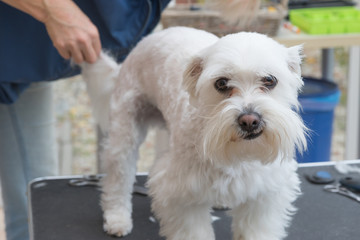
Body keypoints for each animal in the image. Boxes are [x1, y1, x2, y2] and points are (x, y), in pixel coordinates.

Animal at [82, 26, 306, 240]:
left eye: (269, 80)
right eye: (221, 83)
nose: (249, 120)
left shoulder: (265, 194)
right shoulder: (180, 194)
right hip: (124, 134)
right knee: (117, 179)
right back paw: (117, 218)